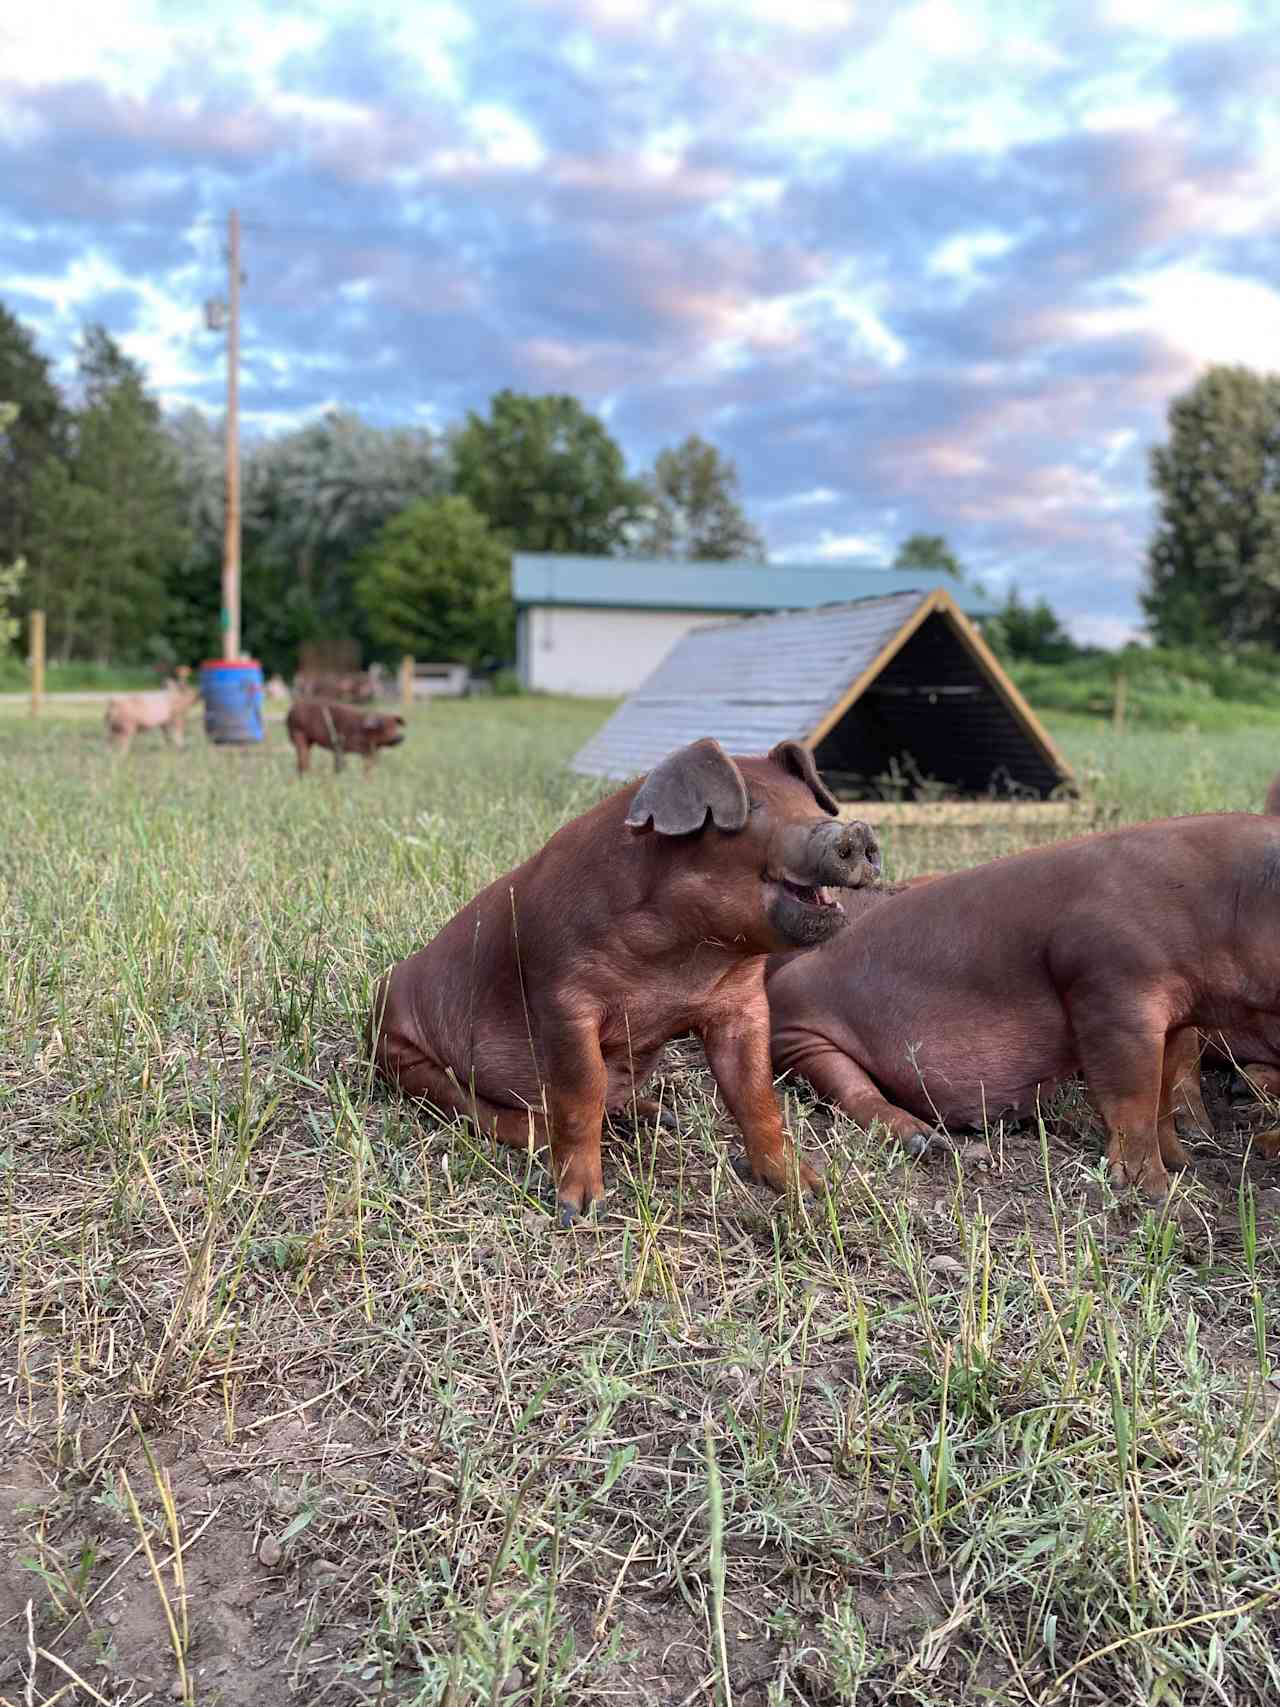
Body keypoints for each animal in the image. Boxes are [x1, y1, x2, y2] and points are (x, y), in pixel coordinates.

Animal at [370, 740, 880, 1222]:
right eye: (751, 806)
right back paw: (546, 1136)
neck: (685, 962)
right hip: (399, 1047)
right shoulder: (563, 998)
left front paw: (812, 1190)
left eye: (813, 803)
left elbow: (756, 1095)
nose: (857, 832)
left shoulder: (743, 1004)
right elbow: (581, 1092)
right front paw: (580, 1211)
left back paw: (661, 1117)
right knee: (475, 1107)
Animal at [771, 815, 1280, 1201]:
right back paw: (928, 1145)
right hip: (802, 1037)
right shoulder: (1109, 988)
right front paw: (1158, 1194)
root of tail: (775, 983)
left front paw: (1186, 1165)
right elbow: (1133, 1099)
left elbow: (1165, 1094)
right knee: (855, 1090)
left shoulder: (1176, 1016)